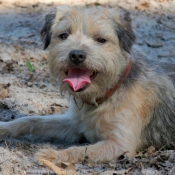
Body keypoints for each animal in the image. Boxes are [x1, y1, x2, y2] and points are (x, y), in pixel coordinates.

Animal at [0, 5, 175, 164]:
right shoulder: (72, 124)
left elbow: (81, 150)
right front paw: (4, 127)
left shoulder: (119, 145)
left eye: (101, 39)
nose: (76, 55)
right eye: (64, 35)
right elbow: (33, 120)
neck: (108, 91)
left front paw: (52, 155)